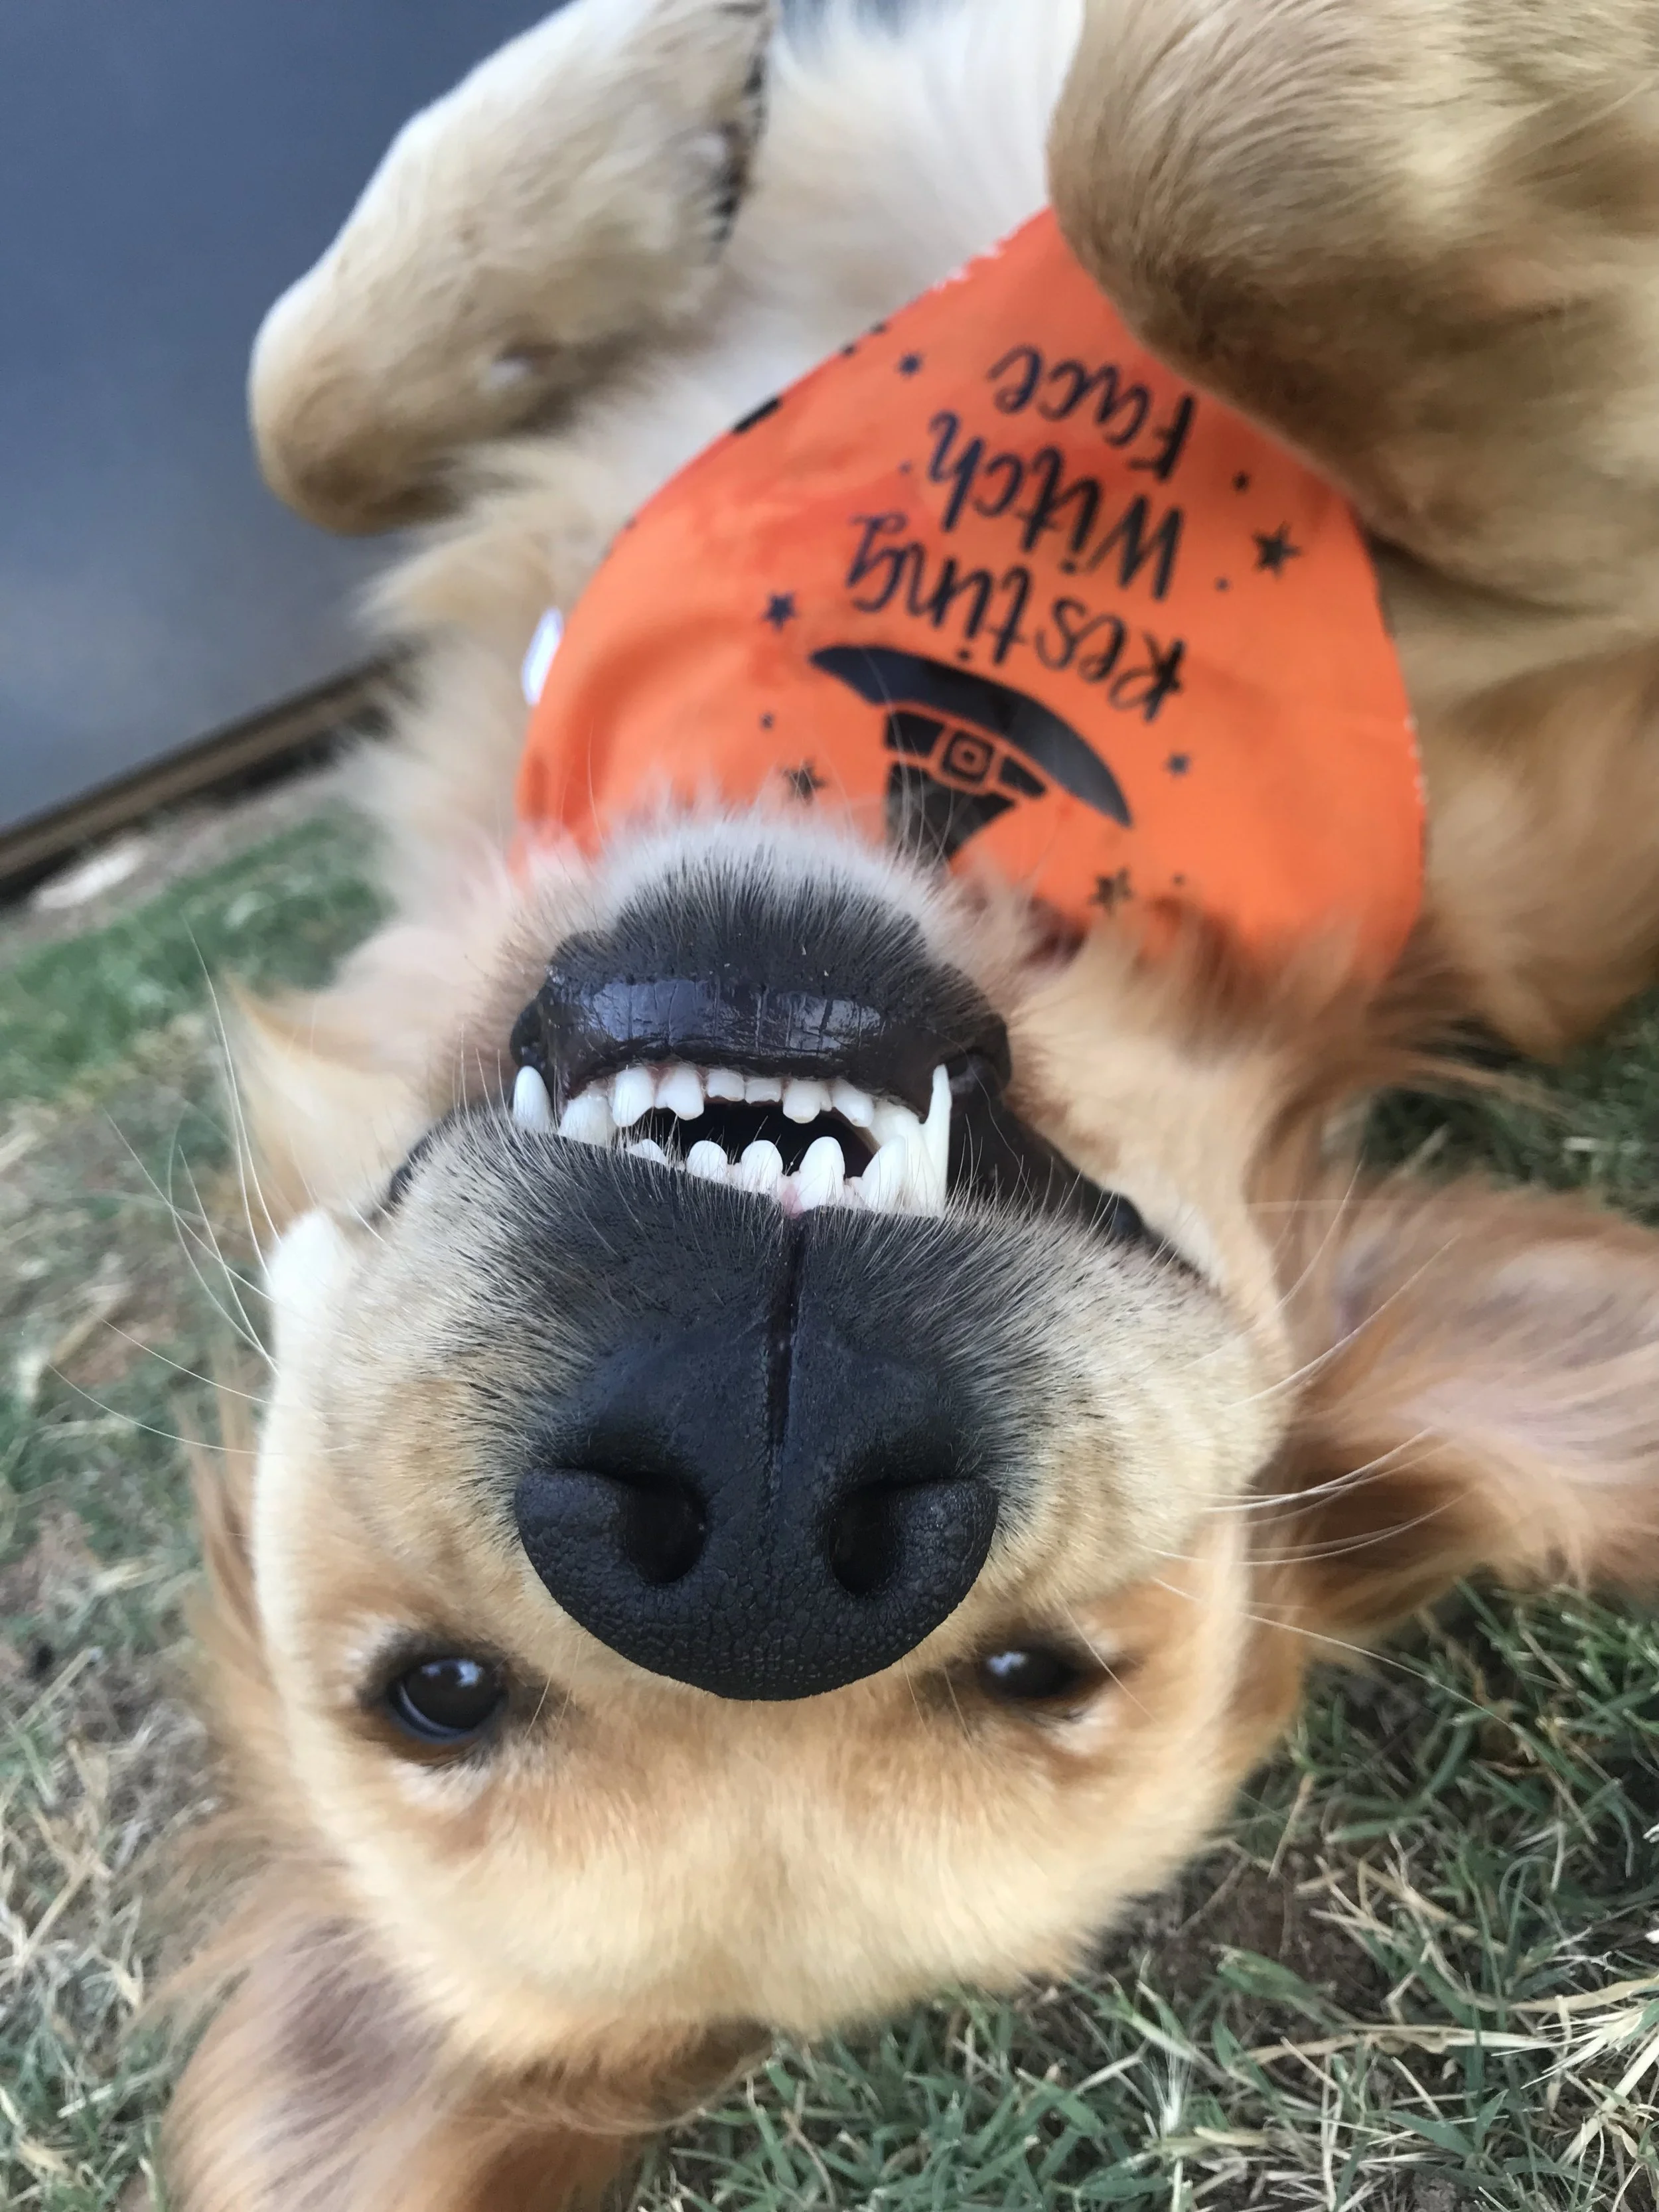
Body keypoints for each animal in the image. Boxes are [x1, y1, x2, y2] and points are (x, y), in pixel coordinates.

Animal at [167, 2, 1659, 2205]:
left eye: (1040, 1671)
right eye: (440, 1692)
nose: (759, 1525)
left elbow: (1176, 172)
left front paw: (628, 108)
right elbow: (1189, 165)